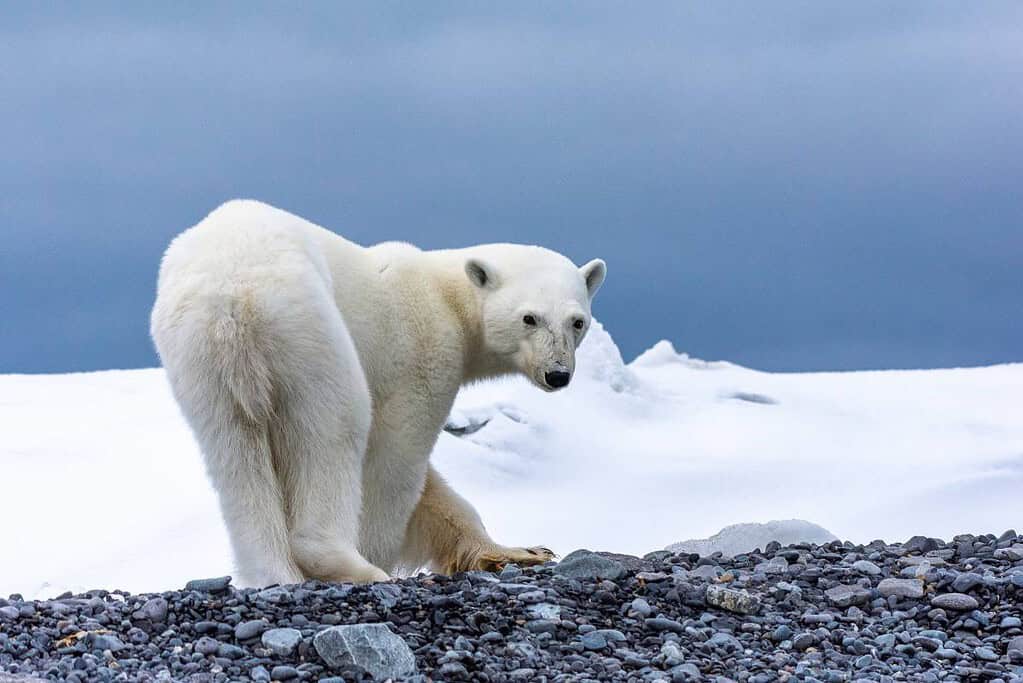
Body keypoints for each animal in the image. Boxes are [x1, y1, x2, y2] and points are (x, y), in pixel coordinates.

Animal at [148, 198, 601, 588]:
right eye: (530, 318)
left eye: (577, 321)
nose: (558, 374)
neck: (448, 297)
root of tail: (231, 299)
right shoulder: (423, 354)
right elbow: (395, 460)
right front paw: (376, 552)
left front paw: (520, 551)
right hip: (309, 332)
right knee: (335, 426)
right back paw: (353, 565)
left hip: (200, 360)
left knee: (233, 452)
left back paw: (272, 572)